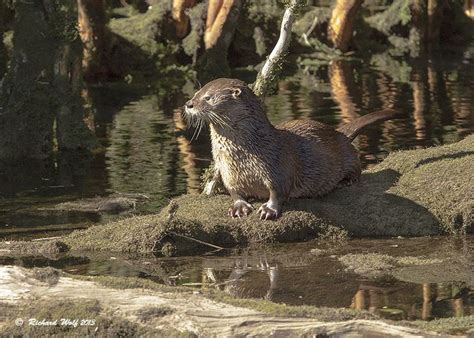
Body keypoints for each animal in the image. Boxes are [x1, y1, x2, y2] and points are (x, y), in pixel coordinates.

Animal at [183, 79, 398, 222]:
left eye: (208, 97)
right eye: (196, 93)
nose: (189, 104)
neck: (245, 154)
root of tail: (339, 133)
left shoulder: (277, 167)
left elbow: (278, 191)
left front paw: (268, 210)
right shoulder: (228, 173)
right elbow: (233, 191)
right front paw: (239, 207)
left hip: (346, 154)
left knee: (356, 166)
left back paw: (346, 181)